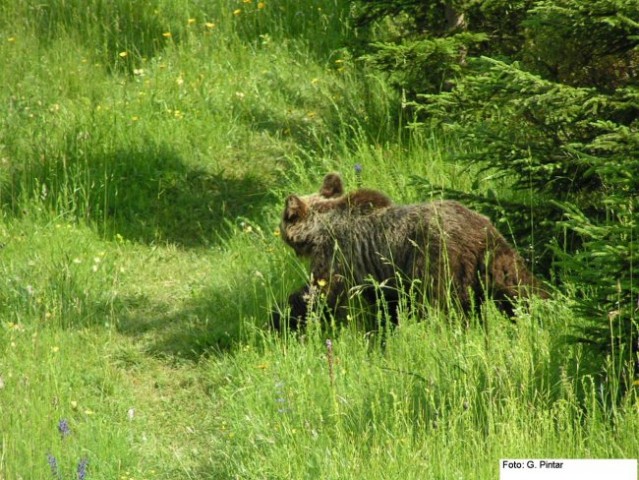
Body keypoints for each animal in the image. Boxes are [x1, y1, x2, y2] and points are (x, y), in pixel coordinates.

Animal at [276, 173, 544, 330]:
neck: (320, 228)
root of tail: (478, 231)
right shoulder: (378, 272)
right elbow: (387, 302)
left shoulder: (337, 255)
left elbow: (320, 292)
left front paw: (284, 317)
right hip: (497, 254)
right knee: (519, 286)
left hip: (436, 256)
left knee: (440, 303)